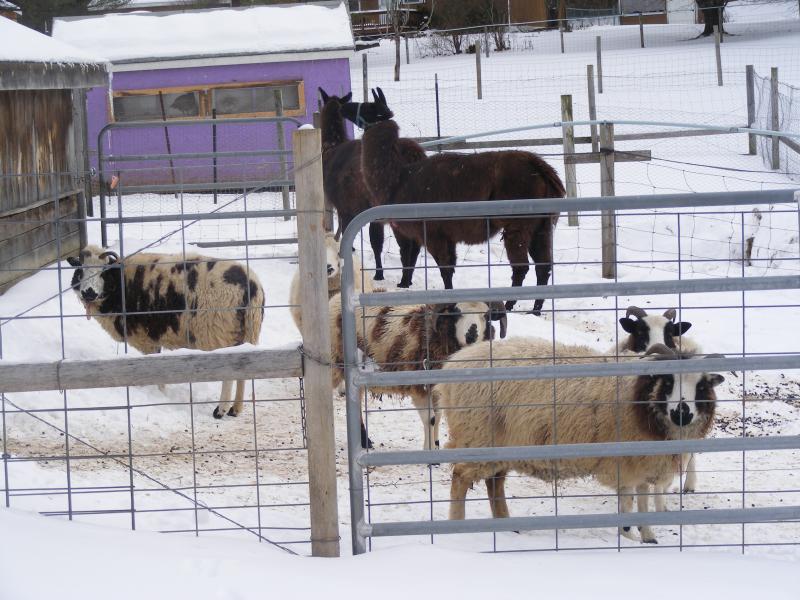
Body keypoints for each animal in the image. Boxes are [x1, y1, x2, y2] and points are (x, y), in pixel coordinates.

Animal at [67, 245, 264, 419]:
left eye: (103, 272)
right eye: (80, 271)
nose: (89, 292)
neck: (121, 284)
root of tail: (251, 286)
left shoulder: (147, 338)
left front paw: (158, 393)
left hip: (219, 332)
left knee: (229, 376)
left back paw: (220, 410)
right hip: (247, 332)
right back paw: (235, 409)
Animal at [329, 293, 507, 449]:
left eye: (486, 315)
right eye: (456, 313)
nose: (471, 335)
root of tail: (335, 299)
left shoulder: (436, 389)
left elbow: (439, 415)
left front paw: (436, 444)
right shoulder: (419, 388)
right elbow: (431, 419)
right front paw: (430, 452)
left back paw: (365, 441)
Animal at [435, 339, 724, 543]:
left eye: (701, 386)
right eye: (668, 381)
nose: (682, 413)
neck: (639, 396)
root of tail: (454, 363)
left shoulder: (643, 462)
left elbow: (642, 499)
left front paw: (648, 536)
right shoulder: (626, 461)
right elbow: (629, 500)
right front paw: (627, 533)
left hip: (501, 445)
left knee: (495, 482)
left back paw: (507, 527)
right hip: (476, 436)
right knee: (460, 477)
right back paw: (459, 527)